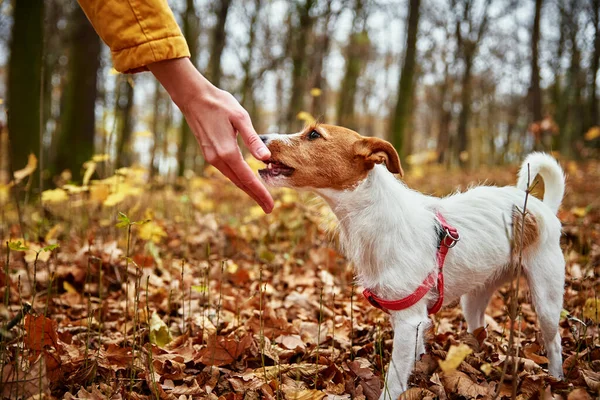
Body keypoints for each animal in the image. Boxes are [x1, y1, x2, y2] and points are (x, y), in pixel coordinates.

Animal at [258, 124, 568, 396]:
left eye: (313, 134)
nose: (260, 136)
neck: (373, 215)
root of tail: (542, 208)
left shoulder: (409, 321)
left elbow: (394, 380)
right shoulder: (408, 319)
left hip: (546, 300)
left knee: (554, 341)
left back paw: (557, 378)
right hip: (474, 299)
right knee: (479, 331)